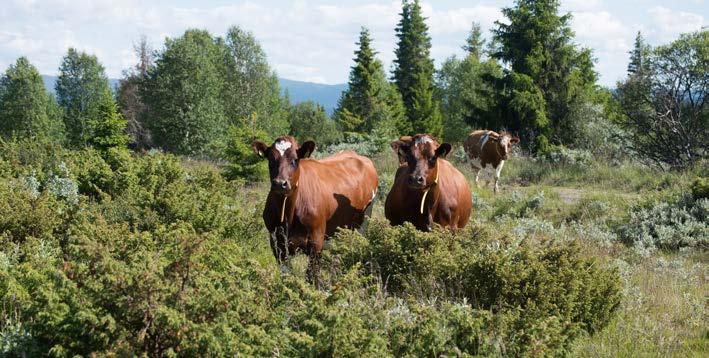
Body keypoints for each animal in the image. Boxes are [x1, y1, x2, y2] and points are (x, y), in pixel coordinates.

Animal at [253, 136, 378, 286]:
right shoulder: (277, 244)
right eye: (270, 160)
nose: (279, 183)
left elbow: (311, 277)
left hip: (364, 221)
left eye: (295, 160)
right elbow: (286, 275)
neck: (288, 215)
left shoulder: (316, 241)